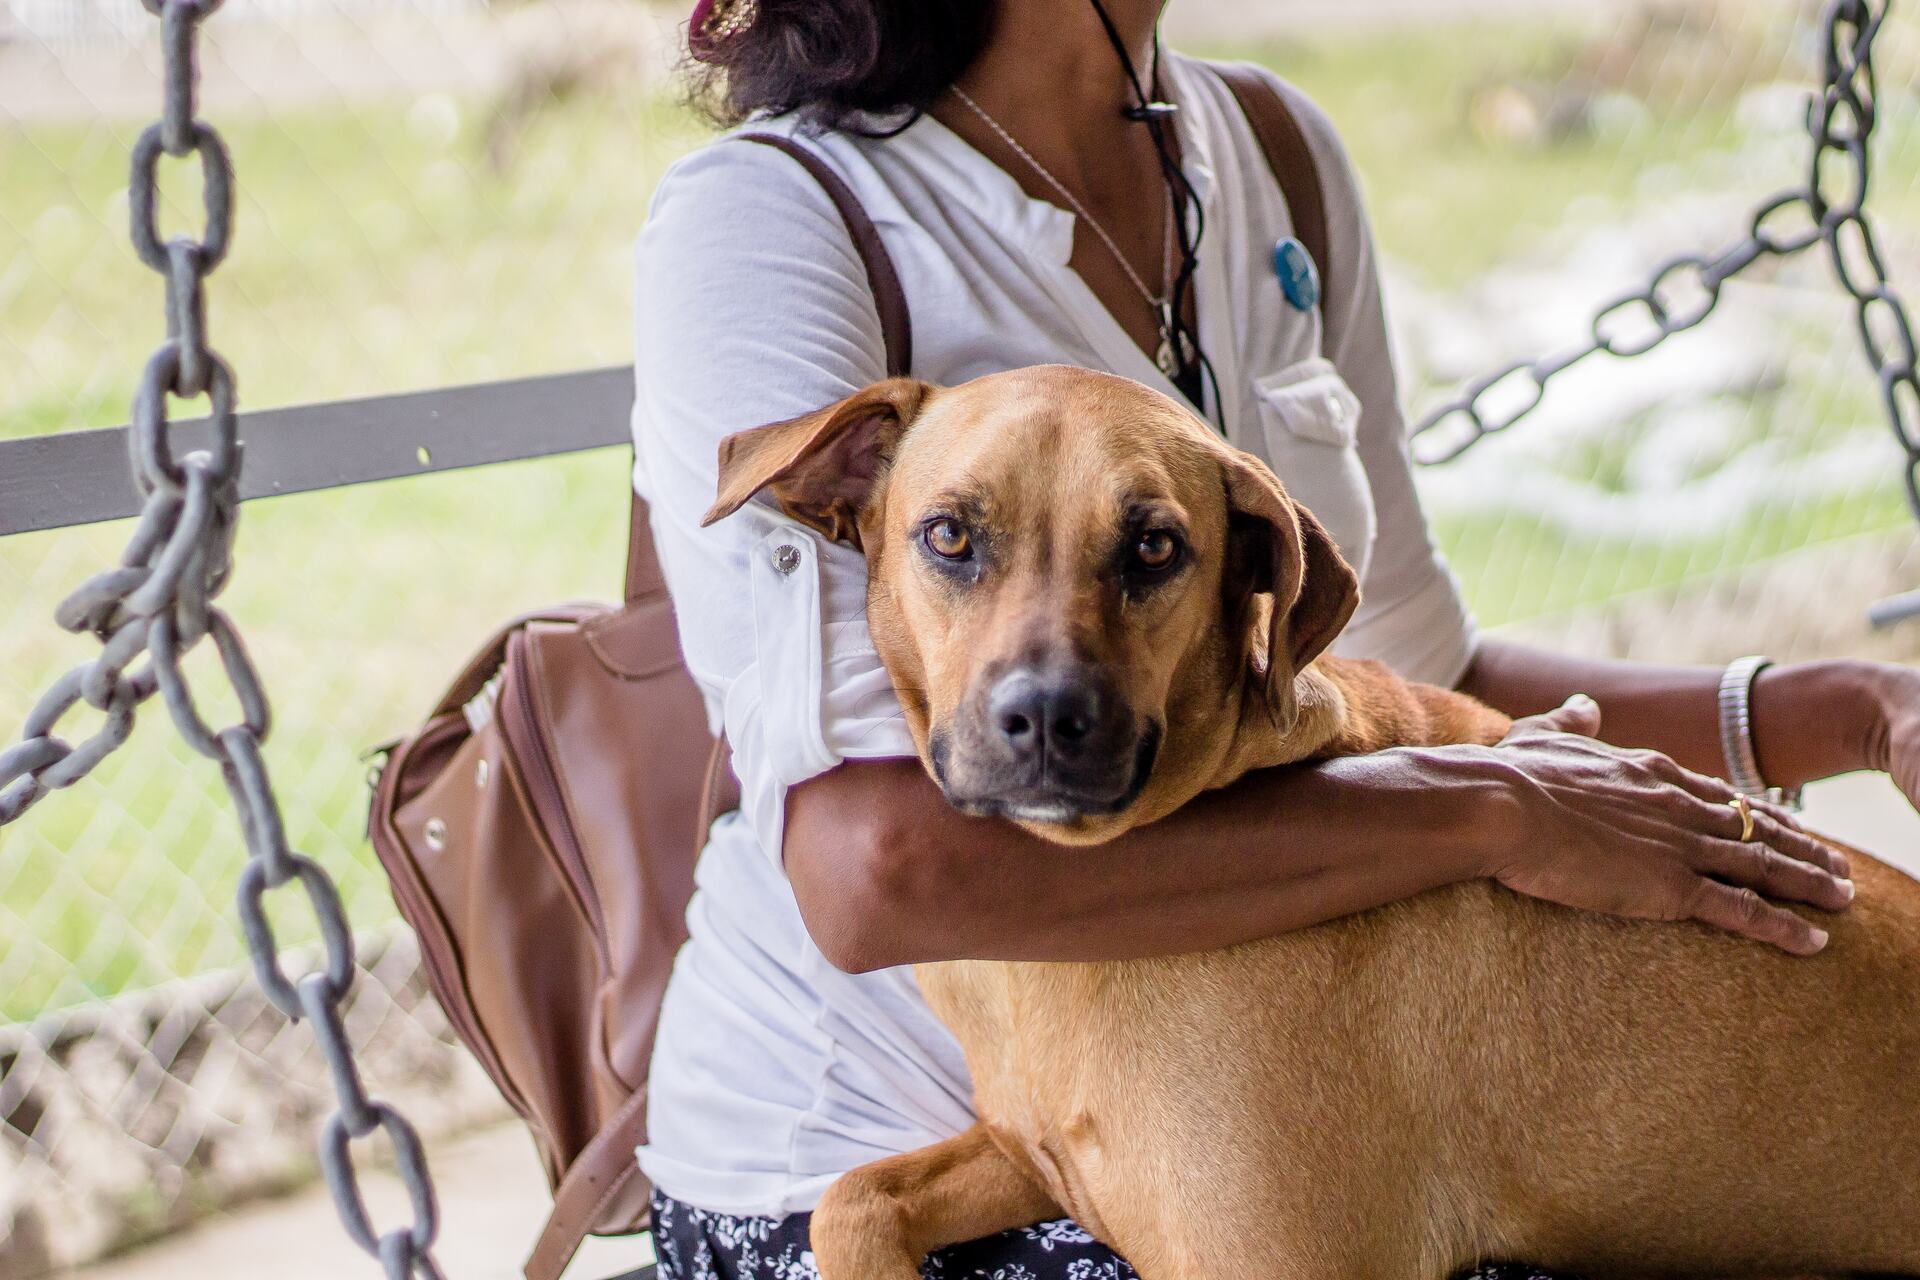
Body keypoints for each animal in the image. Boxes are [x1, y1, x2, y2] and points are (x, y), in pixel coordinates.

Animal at [706, 364, 1920, 1280]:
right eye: (951, 535)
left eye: (1155, 548)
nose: (1045, 717)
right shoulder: (1033, 1154)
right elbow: (853, 1197)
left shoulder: (1280, 1258)